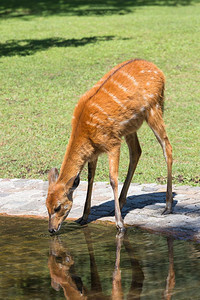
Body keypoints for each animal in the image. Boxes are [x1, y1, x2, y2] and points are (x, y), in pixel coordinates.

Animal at [45, 57, 172, 233]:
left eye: (57, 207)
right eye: (46, 206)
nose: (51, 229)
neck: (84, 131)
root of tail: (159, 71)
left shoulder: (112, 143)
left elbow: (112, 179)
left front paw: (120, 224)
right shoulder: (94, 152)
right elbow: (90, 178)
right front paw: (83, 217)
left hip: (154, 108)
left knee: (167, 147)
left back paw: (167, 207)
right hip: (129, 126)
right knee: (136, 151)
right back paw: (121, 202)